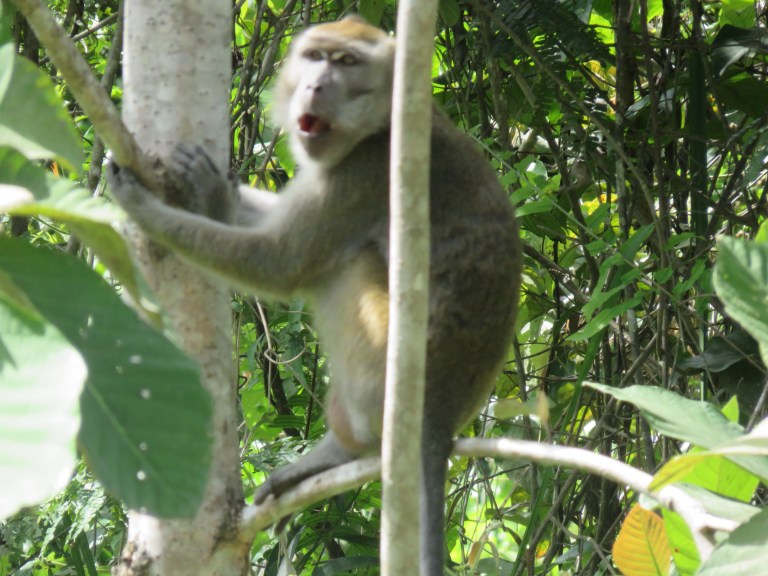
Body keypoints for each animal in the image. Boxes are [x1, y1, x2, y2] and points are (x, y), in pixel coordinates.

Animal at [108, 16, 521, 576]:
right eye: (316, 57)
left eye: (347, 63)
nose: (316, 86)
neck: (381, 126)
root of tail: (441, 415)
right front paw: (212, 197)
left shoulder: (363, 176)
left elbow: (282, 263)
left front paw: (147, 207)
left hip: (377, 373)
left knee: (346, 265)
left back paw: (342, 452)